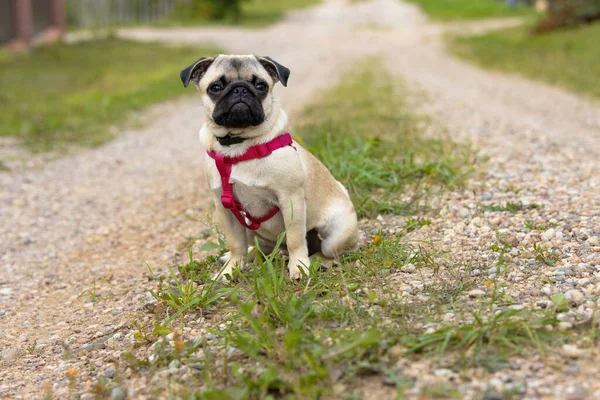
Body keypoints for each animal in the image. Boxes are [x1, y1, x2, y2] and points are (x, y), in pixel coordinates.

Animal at [180, 53, 358, 280]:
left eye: (261, 86)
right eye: (216, 87)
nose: (240, 89)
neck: (239, 146)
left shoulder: (290, 199)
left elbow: (295, 239)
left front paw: (299, 266)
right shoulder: (224, 207)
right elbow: (235, 243)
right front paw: (230, 269)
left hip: (335, 234)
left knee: (330, 251)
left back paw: (319, 261)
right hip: (249, 227)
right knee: (259, 246)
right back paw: (245, 254)